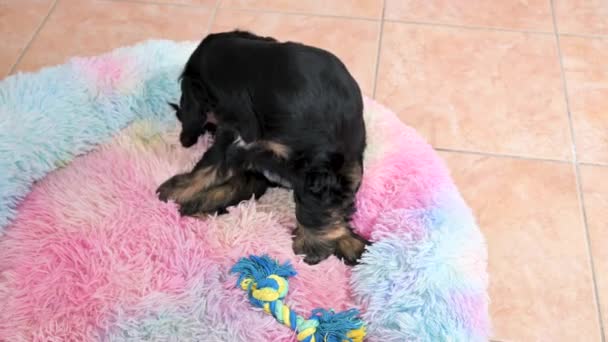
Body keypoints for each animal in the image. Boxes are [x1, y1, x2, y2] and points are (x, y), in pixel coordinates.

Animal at [157, 30, 368, 264]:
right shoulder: (232, 141)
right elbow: (207, 168)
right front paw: (175, 190)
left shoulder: (315, 166)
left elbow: (312, 206)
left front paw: (311, 246)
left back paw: (352, 244)